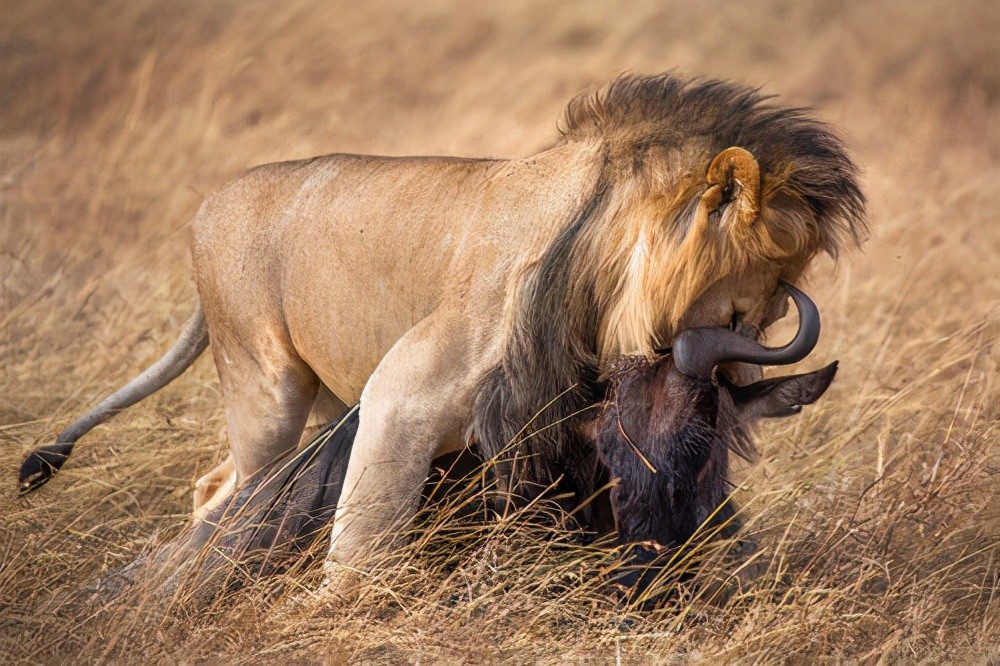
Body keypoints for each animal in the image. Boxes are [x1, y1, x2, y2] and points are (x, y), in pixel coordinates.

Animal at [21, 72, 868, 580]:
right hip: (265, 389)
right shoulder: (401, 399)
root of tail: (204, 208)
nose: (744, 378)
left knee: (224, 484)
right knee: (230, 491)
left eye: (770, 312)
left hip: (325, 401)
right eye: (744, 311)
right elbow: (363, 547)